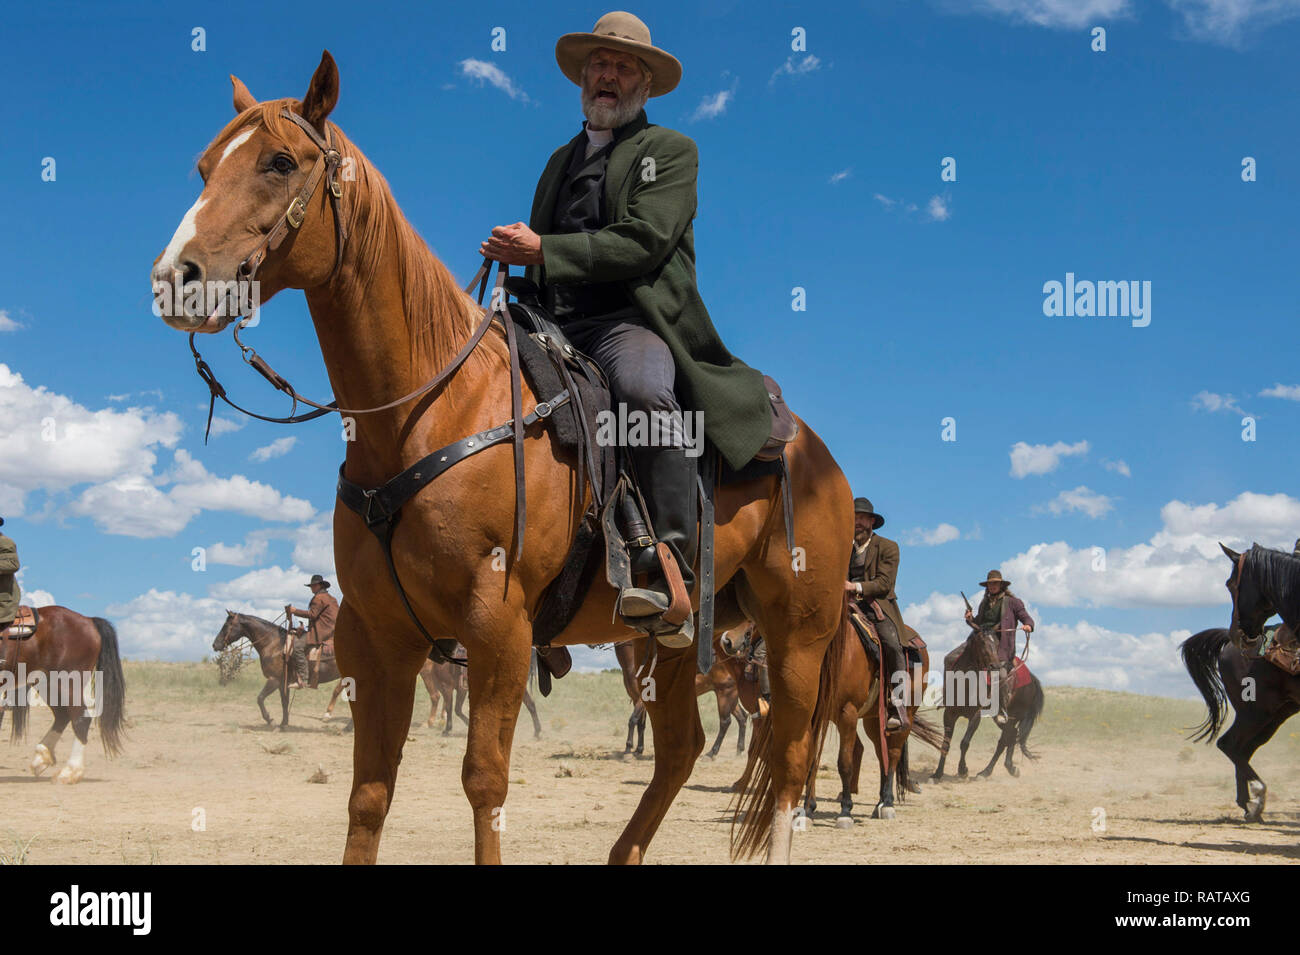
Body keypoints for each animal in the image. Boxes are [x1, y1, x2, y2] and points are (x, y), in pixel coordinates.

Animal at [0, 608, 126, 789]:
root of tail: (88, 620)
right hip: (48, 684)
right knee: (62, 715)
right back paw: (42, 757)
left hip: (67, 682)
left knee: (81, 719)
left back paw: (69, 772)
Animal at [152, 55, 852, 867]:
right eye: (206, 167)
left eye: (280, 162)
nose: (175, 277)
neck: (430, 410)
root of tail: (816, 453)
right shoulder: (377, 638)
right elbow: (369, 793)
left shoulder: (498, 629)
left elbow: (484, 782)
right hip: (673, 645)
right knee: (681, 749)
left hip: (798, 635)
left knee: (789, 759)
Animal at [935, 631, 1045, 779]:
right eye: (981, 643)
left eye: (997, 643)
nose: (995, 666)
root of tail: (1032, 680)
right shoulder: (949, 714)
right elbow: (945, 744)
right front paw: (937, 773)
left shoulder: (975, 716)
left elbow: (965, 743)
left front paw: (963, 770)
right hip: (1002, 718)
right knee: (1012, 735)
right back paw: (1010, 767)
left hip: (1014, 716)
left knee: (1004, 740)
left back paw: (986, 772)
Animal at [1185, 628, 1294, 821]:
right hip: (1255, 713)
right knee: (1228, 744)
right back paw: (1257, 797)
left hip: (1274, 717)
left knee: (1242, 750)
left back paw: (1249, 807)